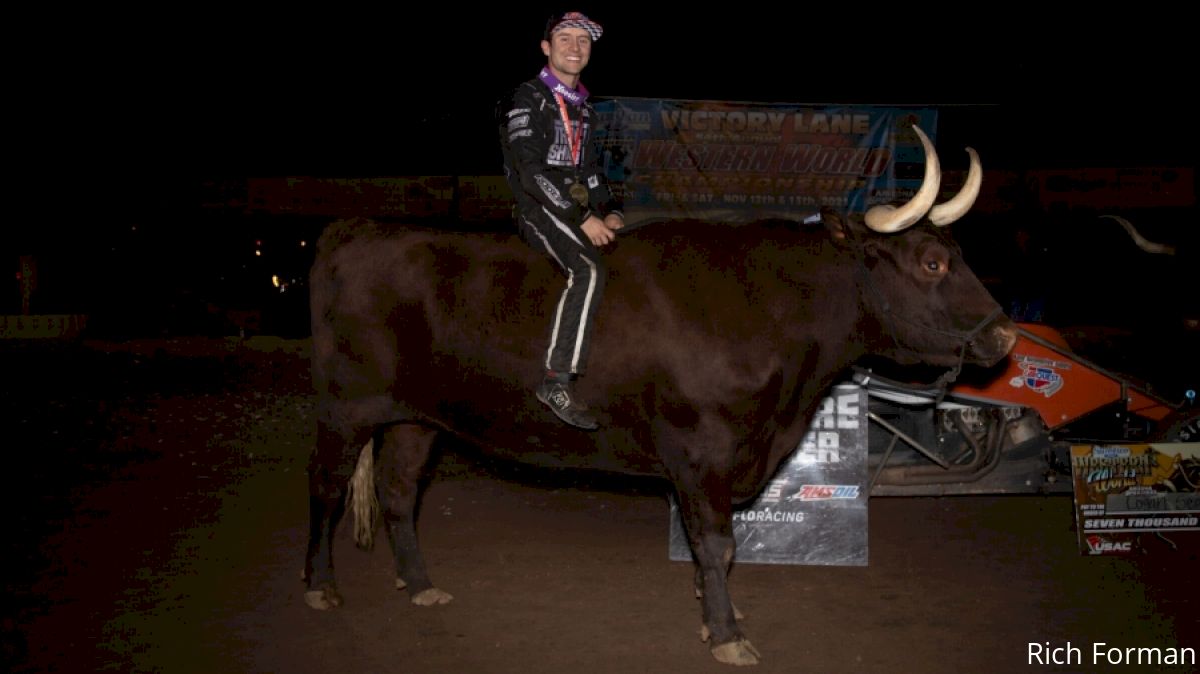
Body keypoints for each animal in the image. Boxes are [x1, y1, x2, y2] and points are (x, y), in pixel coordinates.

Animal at [300, 124, 1012, 662]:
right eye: (931, 263)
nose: (1004, 335)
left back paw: (421, 585)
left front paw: (712, 611)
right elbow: (718, 543)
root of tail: (358, 228)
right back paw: (320, 587)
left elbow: (714, 549)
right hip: (343, 405)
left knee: (397, 492)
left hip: (416, 418)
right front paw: (727, 634)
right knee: (328, 487)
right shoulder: (702, 450)